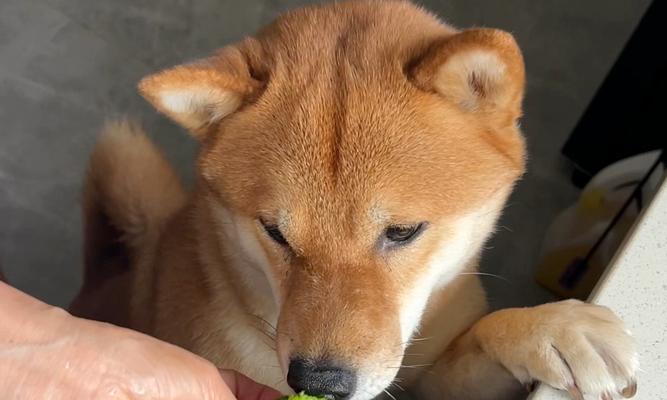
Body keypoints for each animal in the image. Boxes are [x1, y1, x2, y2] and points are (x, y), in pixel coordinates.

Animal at [70, 0, 640, 400]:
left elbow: (482, 336)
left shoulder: (428, 376)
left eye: (403, 231)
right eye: (274, 231)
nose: (319, 382)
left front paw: (555, 328)